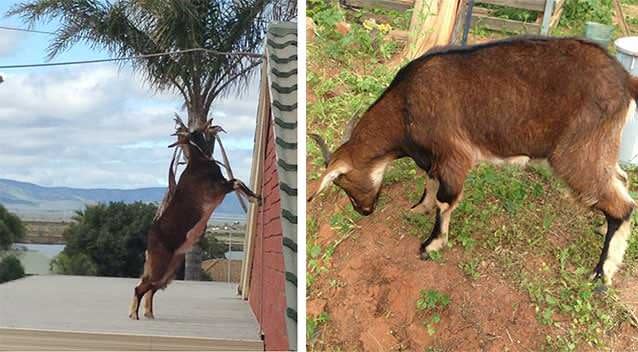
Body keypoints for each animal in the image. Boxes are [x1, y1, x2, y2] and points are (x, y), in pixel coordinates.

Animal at [127, 117, 260, 320]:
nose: (211, 123)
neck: (200, 162)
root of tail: (149, 240)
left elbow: (239, 182)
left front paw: (255, 197)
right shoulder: (217, 189)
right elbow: (237, 182)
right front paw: (254, 198)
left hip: (169, 272)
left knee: (150, 289)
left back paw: (149, 313)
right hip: (159, 266)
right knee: (140, 288)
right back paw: (134, 314)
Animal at [308, 36, 636, 288]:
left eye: (342, 183)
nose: (363, 211)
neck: (404, 107)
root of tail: (624, 79)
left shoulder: (453, 154)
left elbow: (445, 199)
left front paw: (431, 244)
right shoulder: (434, 158)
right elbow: (430, 182)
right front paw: (418, 208)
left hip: (576, 152)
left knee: (621, 205)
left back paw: (601, 273)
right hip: (602, 147)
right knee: (620, 181)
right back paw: (601, 230)